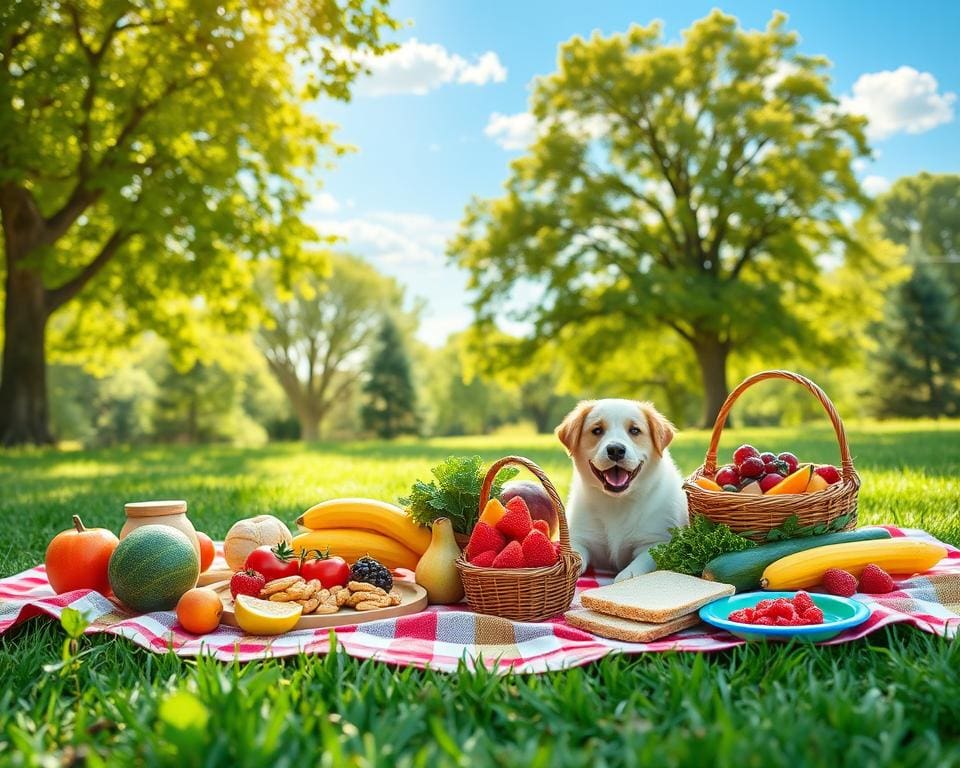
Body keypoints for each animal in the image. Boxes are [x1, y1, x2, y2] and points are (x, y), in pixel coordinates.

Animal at [556, 400, 688, 580]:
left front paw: (625, 576)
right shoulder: (579, 537)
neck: (617, 502)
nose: (615, 450)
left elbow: (639, 565)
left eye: (635, 430)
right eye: (597, 430)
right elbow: (576, 555)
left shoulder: (657, 541)